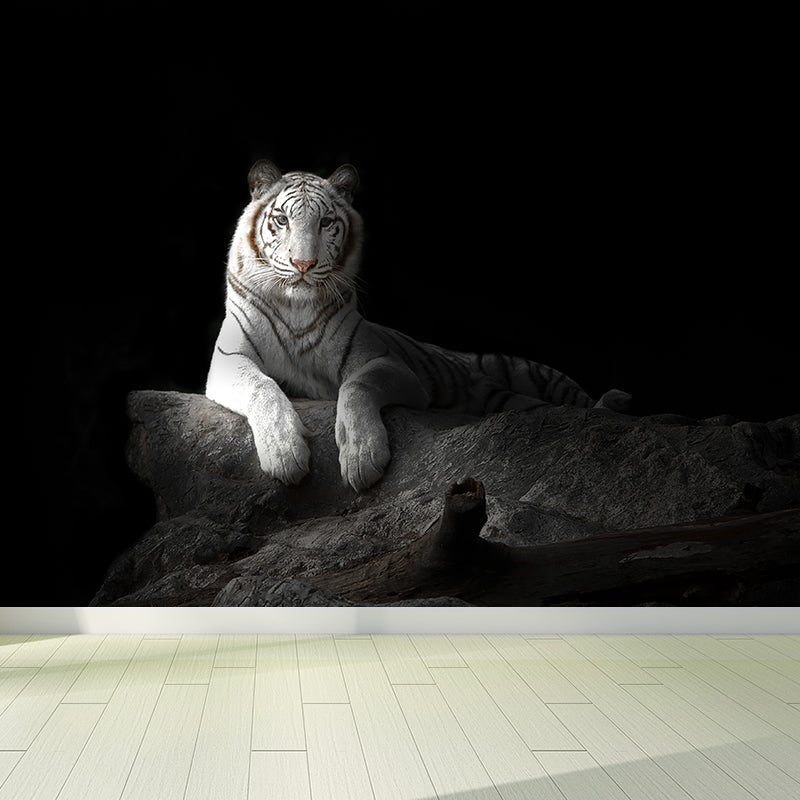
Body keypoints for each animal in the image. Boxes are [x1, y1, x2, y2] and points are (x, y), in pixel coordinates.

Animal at [206, 159, 630, 491]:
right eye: (281, 220)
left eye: (325, 222)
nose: (303, 265)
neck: (296, 305)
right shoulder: (228, 360)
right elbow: (263, 387)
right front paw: (285, 453)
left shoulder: (389, 364)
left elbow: (357, 386)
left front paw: (362, 456)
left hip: (534, 375)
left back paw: (614, 404)